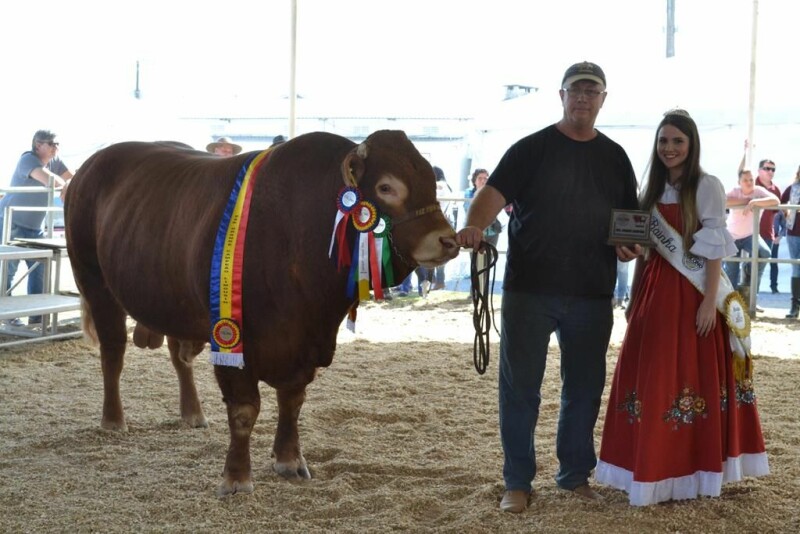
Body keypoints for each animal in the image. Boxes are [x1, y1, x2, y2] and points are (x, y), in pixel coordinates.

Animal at [65, 131, 460, 498]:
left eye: (430, 180)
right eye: (386, 186)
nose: (448, 241)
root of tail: (91, 166)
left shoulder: (304, 344)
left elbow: (292, 402)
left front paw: (289, 460)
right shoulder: (233, 340)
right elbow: (244, 411)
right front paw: (236, 478)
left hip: (173, 299)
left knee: (179, 356)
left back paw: (192, 413)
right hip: (94, 280)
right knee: (113, 352)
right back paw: (113, 420)